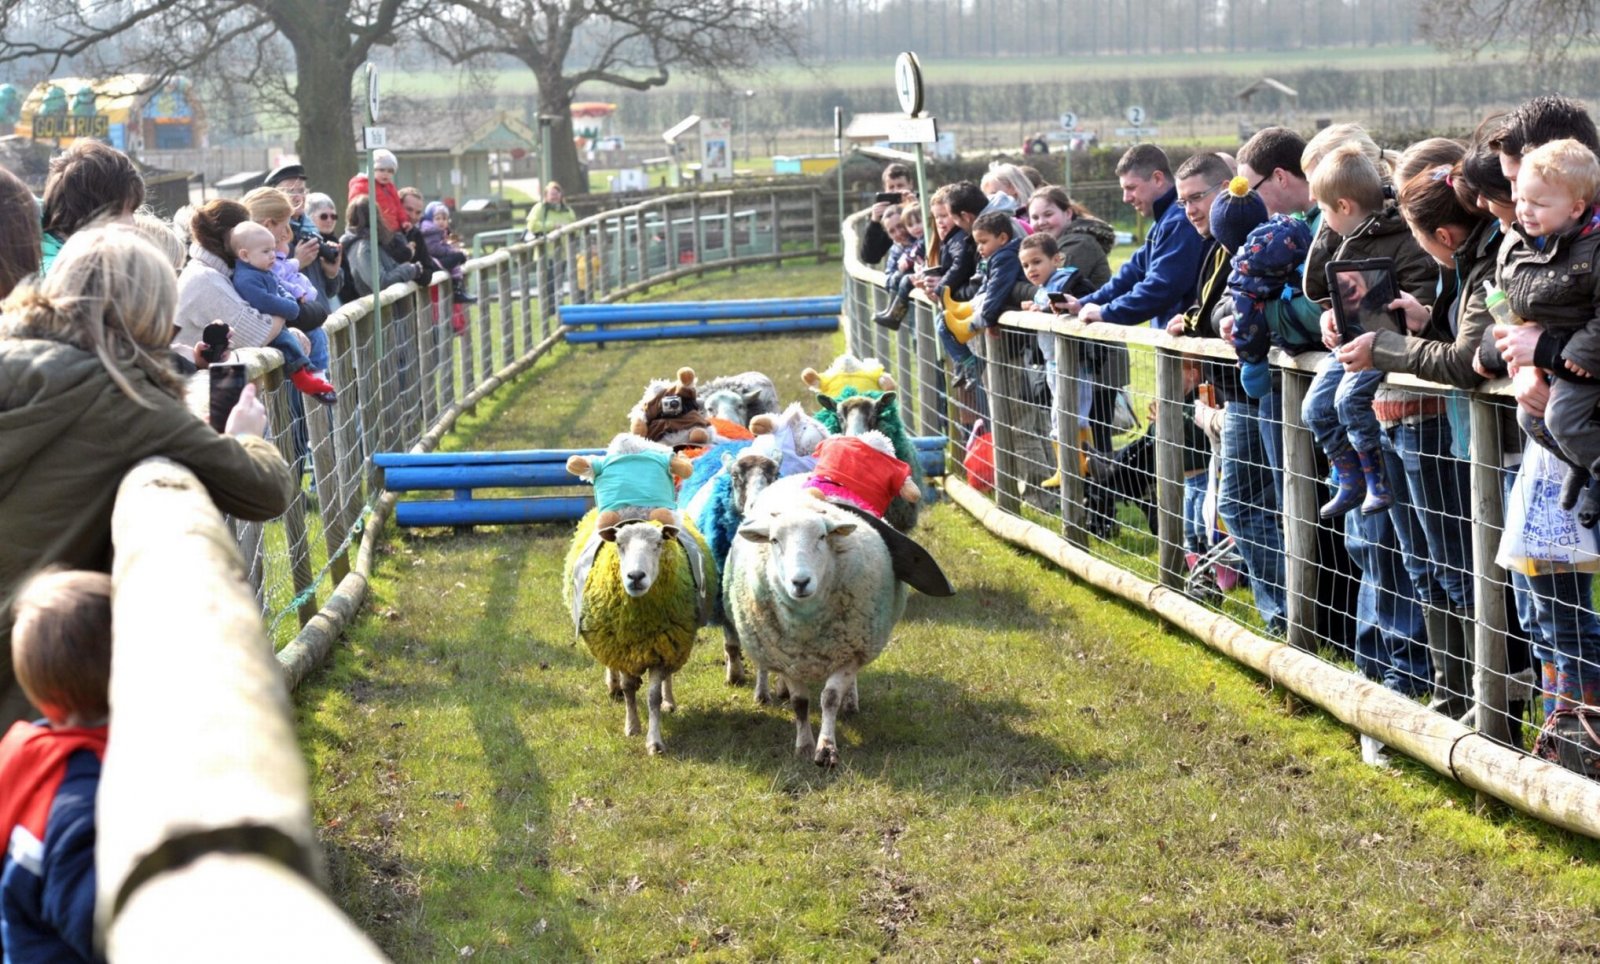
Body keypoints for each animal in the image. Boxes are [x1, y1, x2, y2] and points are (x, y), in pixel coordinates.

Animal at [563, 509, 713, 749]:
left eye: (658, 544)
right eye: (619, 544)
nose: (635, 576)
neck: (639, 623)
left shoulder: (662, 648)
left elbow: (653, 696)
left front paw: (654, 740)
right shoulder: (621, 648)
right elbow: (628, 687)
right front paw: (632, 726)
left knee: (668, 677)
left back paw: (669, 701)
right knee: (612, 669)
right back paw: (613, 686)